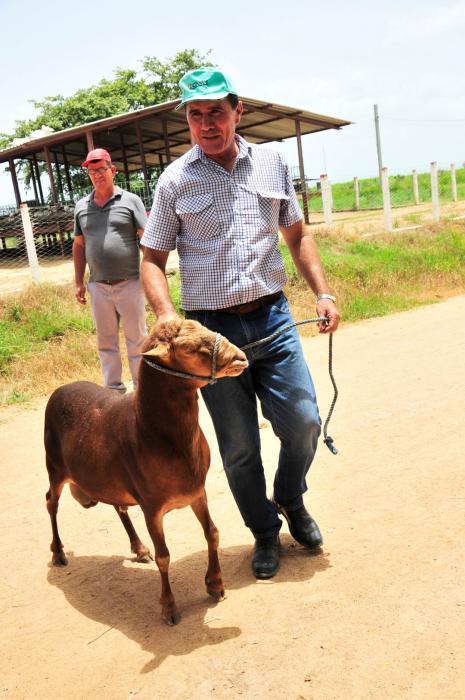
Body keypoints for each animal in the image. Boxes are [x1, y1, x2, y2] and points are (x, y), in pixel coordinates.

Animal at [44, 318, 246, 624]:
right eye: (188, 349)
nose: (240, 357)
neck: (148, 428)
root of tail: (61, 388)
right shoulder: (152, 506)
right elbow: (164, 556)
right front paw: (169, 608)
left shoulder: (196, 491)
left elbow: (212, 532)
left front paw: (215, 585)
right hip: (54, 465)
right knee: (51, 502)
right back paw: (58, 553)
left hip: (111, 480)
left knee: (119, 507)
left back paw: (139, 548)